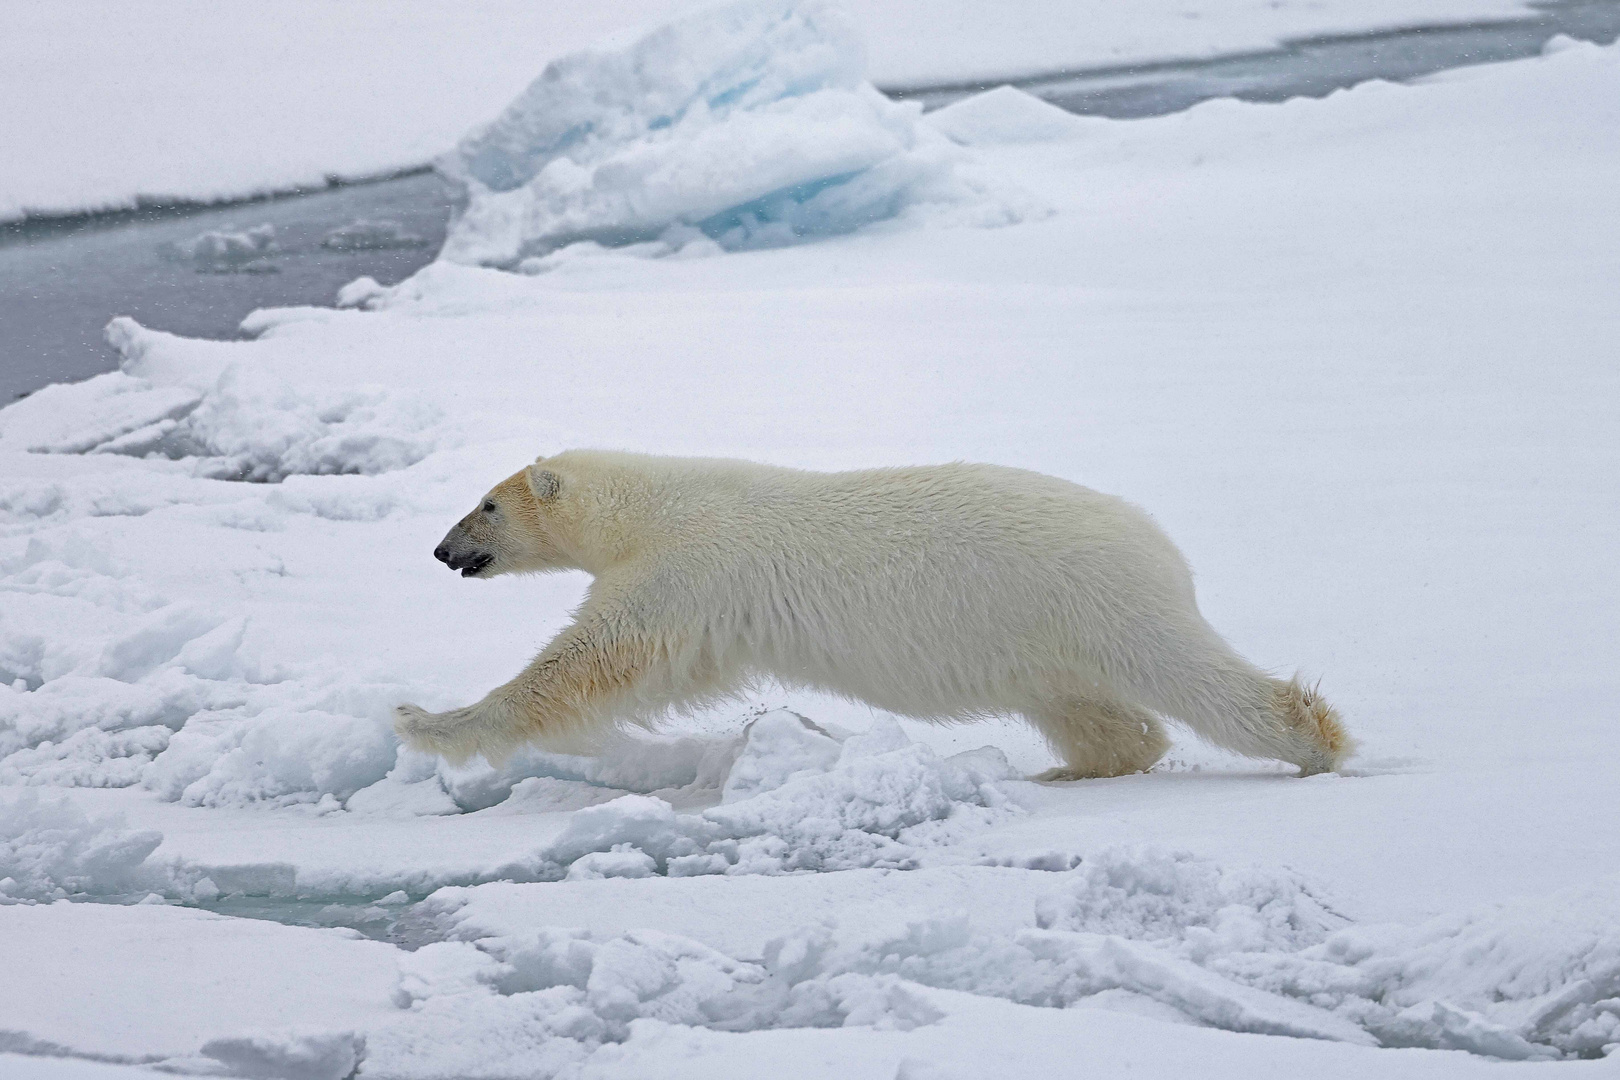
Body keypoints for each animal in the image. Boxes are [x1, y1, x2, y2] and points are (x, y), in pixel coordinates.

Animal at [395, 453, 1354, 780]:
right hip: (1037, 636)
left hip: (1093, 598)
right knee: (1093, 711)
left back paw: (1316, 744)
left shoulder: (686, 571)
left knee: (1189, 677)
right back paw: (1071, 770)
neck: (653, 503)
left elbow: (589, 663)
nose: (440, 550)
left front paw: (424, 719)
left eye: (486, 505)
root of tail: (1159, 542)